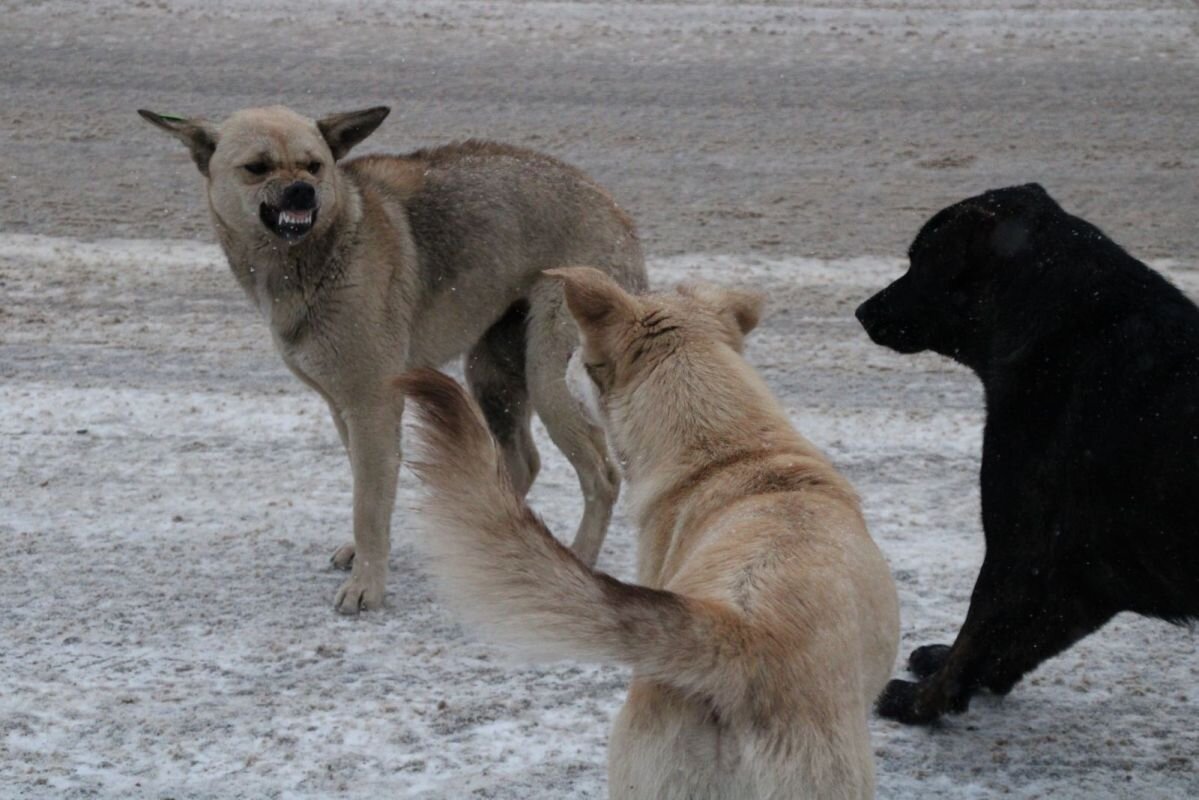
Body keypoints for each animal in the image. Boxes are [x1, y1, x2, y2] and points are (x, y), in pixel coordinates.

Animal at [137, 106, 647, 614]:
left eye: (314, 166)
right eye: (257, 168)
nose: (302, 191)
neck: (328, 247)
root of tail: (618, 212)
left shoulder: (373, 405)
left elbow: (369, 502)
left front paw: (367, 584)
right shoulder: (343, 408)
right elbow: (368, 489)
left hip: (550, 378)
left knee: (602, 478)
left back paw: (578, 559)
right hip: (491, 376)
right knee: (522, 462)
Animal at [858, 185, 1199, 724]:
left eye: (919, 260)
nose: (862, 311)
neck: (1064, 325)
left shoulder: (1018, 541)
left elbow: (976, 632)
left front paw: (923, 702)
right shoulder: (1086, 571)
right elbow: (1016, 641)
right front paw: (964, 682)